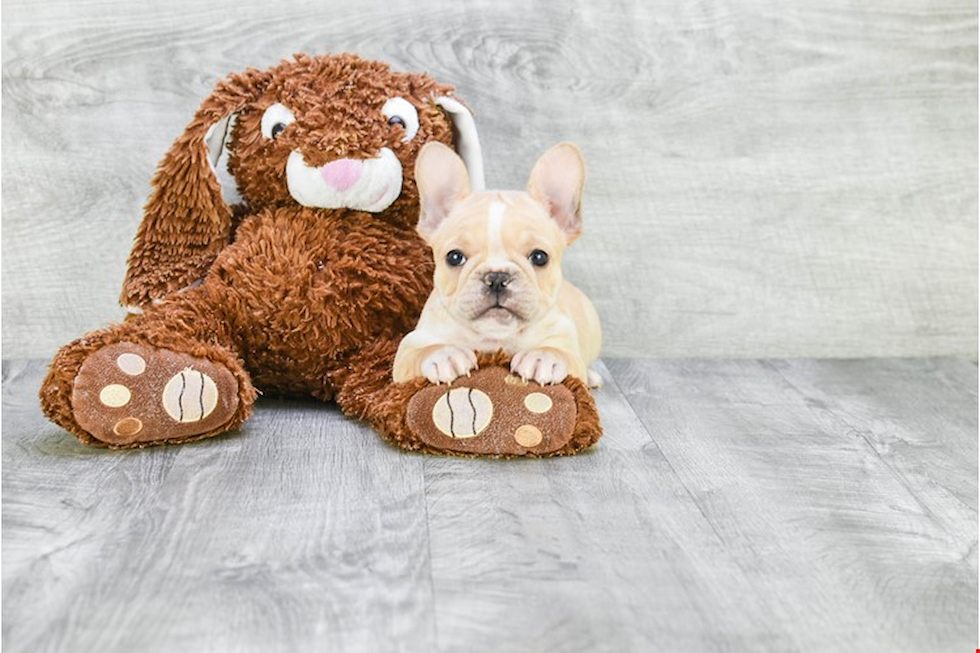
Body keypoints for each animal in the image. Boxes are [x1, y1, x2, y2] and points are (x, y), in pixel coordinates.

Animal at [394, 141, 600, 388]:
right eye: (454, 257)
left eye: (540, 257)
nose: (497, 277)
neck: (494, 337)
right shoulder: (412, 344)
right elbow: (420, 351)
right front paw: (444, 355)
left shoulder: (565, 340)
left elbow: (565, 354)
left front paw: (543, 357)